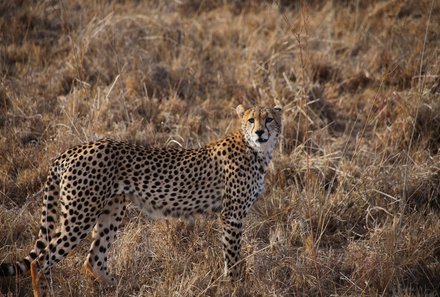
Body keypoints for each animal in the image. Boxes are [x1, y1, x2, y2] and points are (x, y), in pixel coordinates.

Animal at [0, 103, 282, 294]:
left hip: (111, 210)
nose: (260, 132)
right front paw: (235, 285)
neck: (257, 151)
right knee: (40, 262)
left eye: (269, 119)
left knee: (93, 260)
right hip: (80, 215)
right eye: (250, 120)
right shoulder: (232, 216)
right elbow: (233, 256)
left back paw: (119, 287)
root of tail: (69, 151)